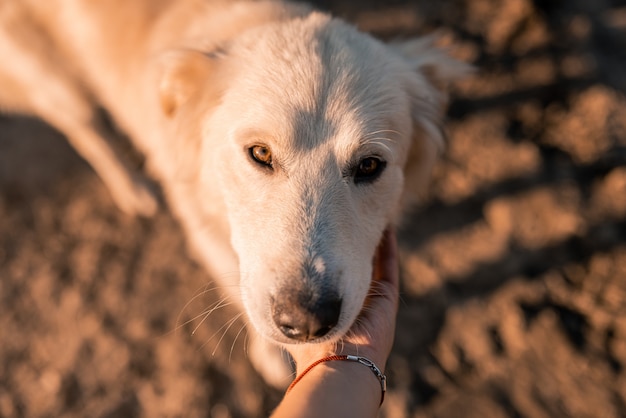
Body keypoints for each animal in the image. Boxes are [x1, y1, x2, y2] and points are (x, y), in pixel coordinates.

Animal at [0, 0, 464, 386]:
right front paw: (272, 357)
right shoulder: (205, 228)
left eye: (369, 165)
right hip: (53, 78)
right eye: (260, 153)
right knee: (85, 129)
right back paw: (132, 189)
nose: (306, 323)